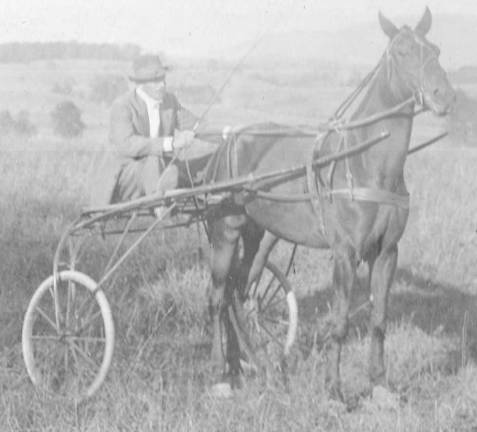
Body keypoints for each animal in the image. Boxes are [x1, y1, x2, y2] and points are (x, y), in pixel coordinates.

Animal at [204, 6, 454, 400]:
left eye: (436, 50)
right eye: (401, 52)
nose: (445, 96)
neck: (366, 164)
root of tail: (229, 141)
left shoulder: (387, 252)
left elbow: (379, 319)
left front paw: (379, 384)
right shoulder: (345, 254)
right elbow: (339, 322)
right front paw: (335, 389)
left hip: (254, 233)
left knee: (236, 292)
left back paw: (242, 364)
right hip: (225, 232)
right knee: (217, 296)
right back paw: (220, 374)